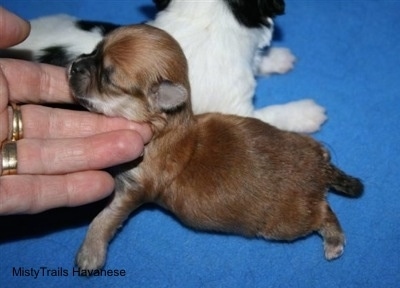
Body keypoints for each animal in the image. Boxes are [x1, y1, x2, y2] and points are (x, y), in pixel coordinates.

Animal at [68, 24, 362, 270]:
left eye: (107, 78)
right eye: (94, 50)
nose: (73, 66)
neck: (166, 126)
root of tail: (321, 169)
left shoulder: (134, 190)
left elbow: (105, 217)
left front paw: (90, 253)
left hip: (286, 223)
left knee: (324, 215)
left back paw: (334, 242)